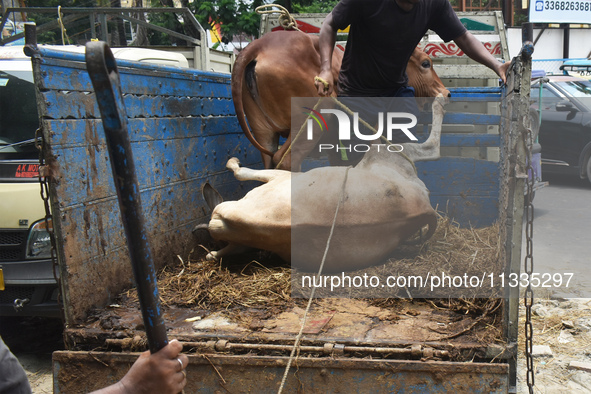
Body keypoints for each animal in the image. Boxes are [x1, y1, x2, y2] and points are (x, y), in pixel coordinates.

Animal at [231, 30, 448, 172]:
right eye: (426, 63)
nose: (446, 92)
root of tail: (259, 45)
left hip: (264, 133)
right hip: (311, 122)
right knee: (286, 161)